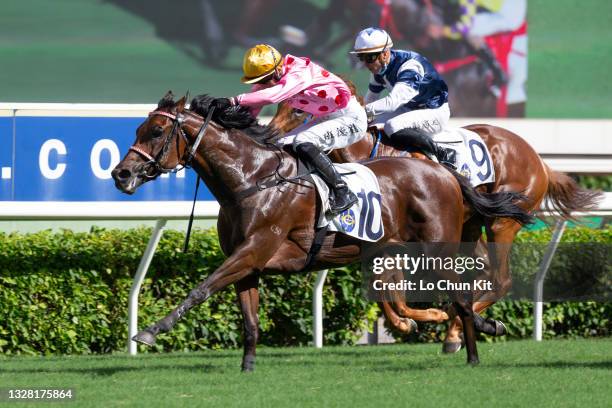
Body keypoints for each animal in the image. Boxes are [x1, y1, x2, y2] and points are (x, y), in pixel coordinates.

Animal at [112, 92, 532, 370]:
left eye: (156, 131)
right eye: (139, 127)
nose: (121, 173)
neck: (251, 179)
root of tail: (443, 170)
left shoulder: (254, 249)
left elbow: (201, 288)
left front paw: (151, 330)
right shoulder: (248, 264)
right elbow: (250, 322)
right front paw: (247, 367)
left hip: (439, 248)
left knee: (462, 295)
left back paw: (471, 352)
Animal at [268, 97, 604, 352]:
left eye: (298, 110)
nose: (270, 136)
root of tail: (539, 160)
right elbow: (385, 287)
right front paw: (409, 321)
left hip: (500, 223)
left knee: (501, 279)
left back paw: (458, 331)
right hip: (470, 225)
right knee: (481, 271)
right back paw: (467, 325)